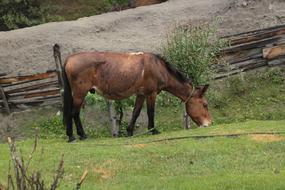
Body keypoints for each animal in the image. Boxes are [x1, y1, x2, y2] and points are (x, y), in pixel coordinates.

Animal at [62, 51, 211, 142]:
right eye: (205, 104)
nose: (209, 123)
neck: (158, 67)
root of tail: (69, 58)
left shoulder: (141, 94)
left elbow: (136, 112)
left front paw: (129, 132)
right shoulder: (151, 94)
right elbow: (151, 112)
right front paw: (153, 130)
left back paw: (72, 135)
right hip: (80, 93)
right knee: (74, 113)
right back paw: (78, 135)